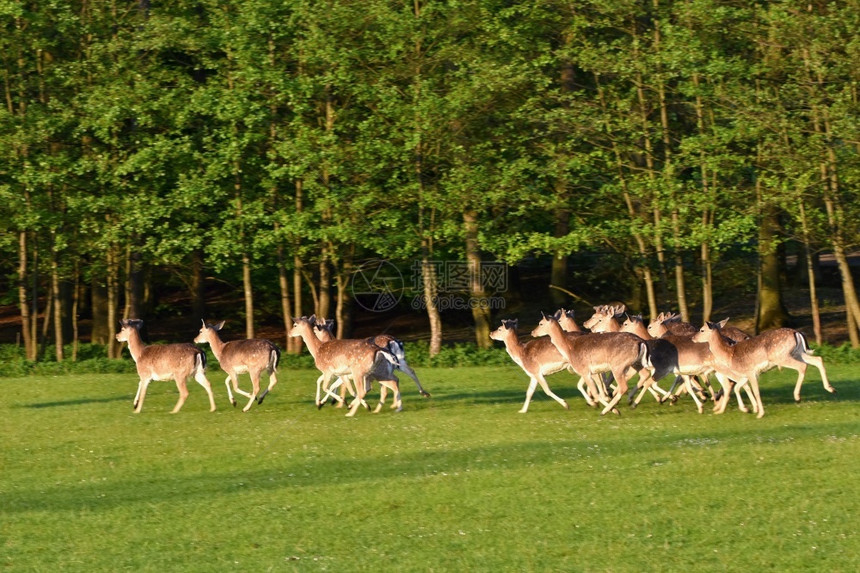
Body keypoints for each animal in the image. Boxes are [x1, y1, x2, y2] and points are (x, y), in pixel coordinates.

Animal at [688, 318, 836, 416]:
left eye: (702, 330)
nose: (693, 338)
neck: (729, 354)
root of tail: (797, 333)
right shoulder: (744, 375)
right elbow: (738, 388)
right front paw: (750, 409)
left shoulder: (751, 372)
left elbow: (755, 391)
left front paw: (759, 413)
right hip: (798, 352)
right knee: (818, 360)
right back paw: (830, 388)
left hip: (781, 356)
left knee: (802, 366)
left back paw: (797, 396)